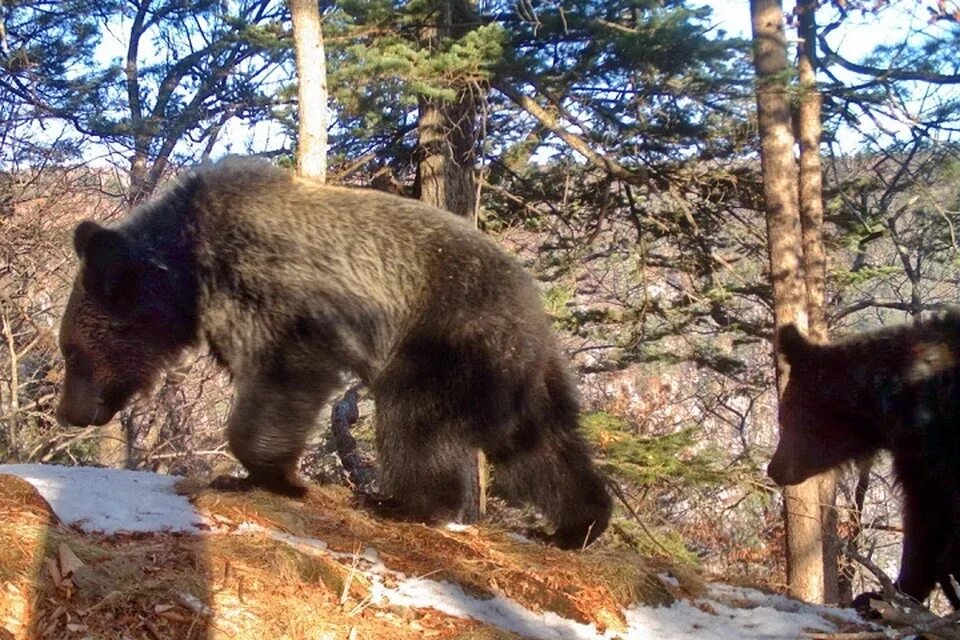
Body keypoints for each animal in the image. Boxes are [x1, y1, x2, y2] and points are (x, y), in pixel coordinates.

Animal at [54, 156, 608, 552]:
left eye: (72, 353)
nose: (69, 412)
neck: (190, 273)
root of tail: (532, 302)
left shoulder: (275, 291)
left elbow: (282, 375)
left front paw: (269, 475)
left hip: (442, 339)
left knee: (417, 422)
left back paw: (403, 503)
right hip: (507, 370)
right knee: (535, 442)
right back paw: (578, 524)